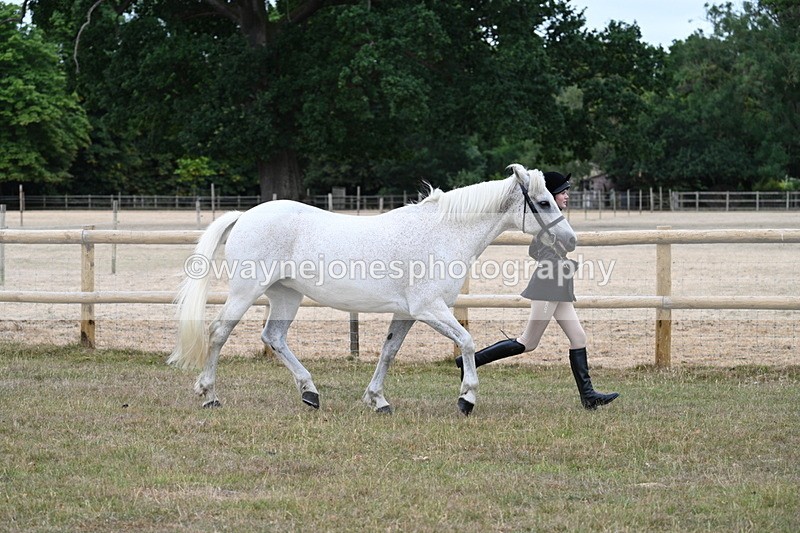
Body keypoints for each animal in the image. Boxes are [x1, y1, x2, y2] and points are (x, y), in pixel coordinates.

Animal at [168, 164, 576, 415]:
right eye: (543, 202)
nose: (570, 240)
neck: (443, 232)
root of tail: (246, 215)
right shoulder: (429, 308)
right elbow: (467, 342)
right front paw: (467, 398)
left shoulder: (407, 313)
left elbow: (389, 352)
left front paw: (377, 400)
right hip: (246, 290)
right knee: (219, 332)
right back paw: (209, 395)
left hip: (287, 294)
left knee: (274, 337)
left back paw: (310, 392)